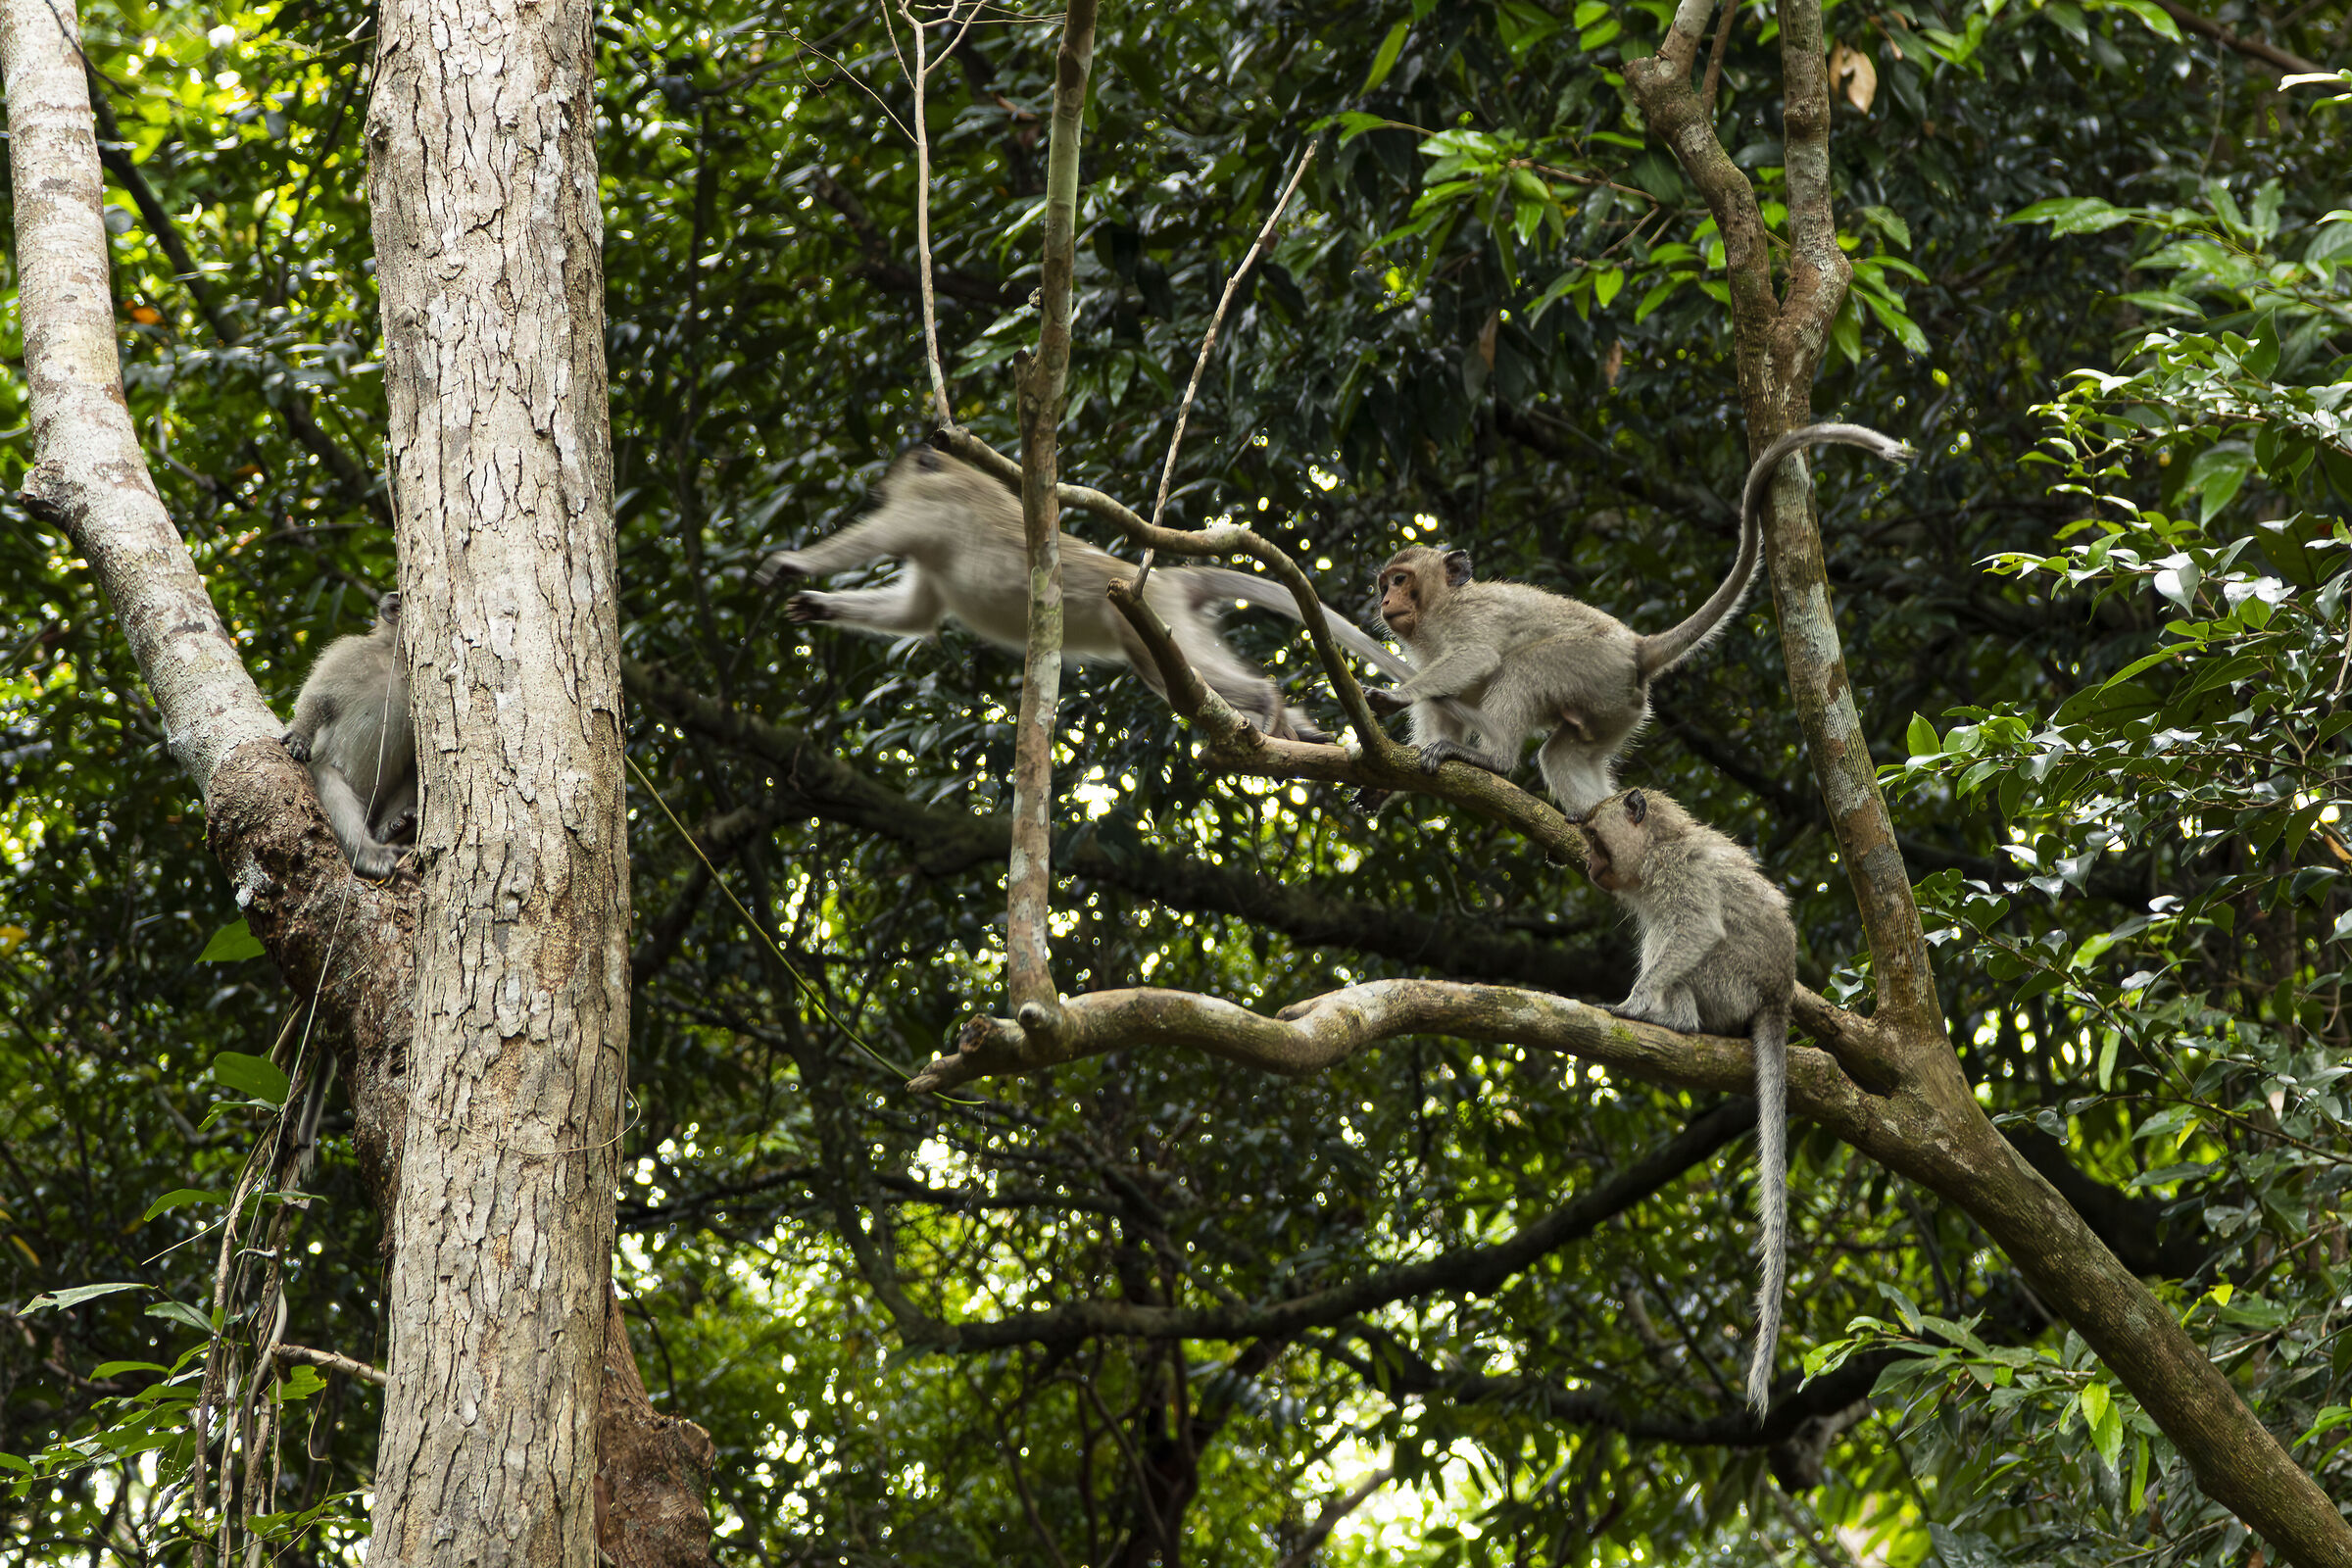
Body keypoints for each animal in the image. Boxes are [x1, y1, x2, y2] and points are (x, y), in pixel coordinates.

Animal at [279, 592, 415, 879]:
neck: (397, 660)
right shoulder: (352, 653)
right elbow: (318, 696)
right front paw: (299, 734)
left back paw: (393, 828)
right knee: (328, 780)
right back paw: (367, 852)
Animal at [757, 446, 1440, 742]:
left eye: (887, 481)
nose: (876, 487)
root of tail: (1167, 578)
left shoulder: (925, 508)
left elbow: (873, 538)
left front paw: (793, 563)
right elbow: (915, 613)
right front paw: (814, 604)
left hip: (1155, 615)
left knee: (1186, 671)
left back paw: (1267, 705)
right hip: (1151, 624)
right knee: (1164, 674)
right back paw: (1292, 728)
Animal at [1366, 422, 1916, 816]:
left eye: (1399, 580)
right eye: (1383, 584)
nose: (1384, 603)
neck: (1436, 607)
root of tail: (1637, 645)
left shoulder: (1464, 616)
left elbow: (1476, 656)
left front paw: (1395, 696)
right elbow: (1441, 708)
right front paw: (1391, 782)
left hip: (1593, 663)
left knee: (1524, 669)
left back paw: (1495, 760)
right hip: (1617, 704)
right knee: (1565, 753)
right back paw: (1594, 820)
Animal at [1578, 786, 1797, 1414]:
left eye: (1595, 839)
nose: (1589, 866)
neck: (1662, 841)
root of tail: (1777, 996)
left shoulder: (1678, 874)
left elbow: (1696, 928)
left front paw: (1636, 1002)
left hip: (1730, 986)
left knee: (1694, 953)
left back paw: (1675, 1018)